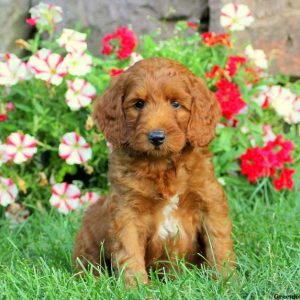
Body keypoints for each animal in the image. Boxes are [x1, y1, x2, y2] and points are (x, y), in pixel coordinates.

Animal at [72, 57, 234, 284]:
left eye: (175, 103)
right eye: (139, 104)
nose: (156, 137)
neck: (161, 165)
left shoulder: (210, 203)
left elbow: (219, 246)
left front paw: (226, 282)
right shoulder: (127, 211)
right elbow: (129, 253)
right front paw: (136, 287)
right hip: (88, 237)